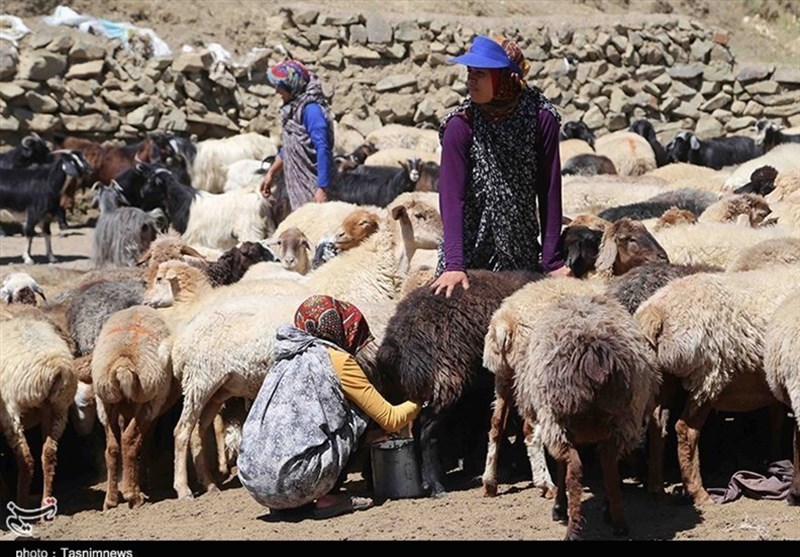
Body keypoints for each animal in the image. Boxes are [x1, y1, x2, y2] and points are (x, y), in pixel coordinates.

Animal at [0, 308, 76, 508]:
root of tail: (55, 367)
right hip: (58, 409)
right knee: (48, 453)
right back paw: (45, 504)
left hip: (11, 412)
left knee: (26, 459)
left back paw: (21, 503)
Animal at [91, 304, 177, 508]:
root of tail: (123, 363)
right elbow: (145, 441)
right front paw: (144, 482)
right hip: (150, 400)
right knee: (130, 441)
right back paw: (133, 496)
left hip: (105, 402)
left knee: (112, 448)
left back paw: (111, 499)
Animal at [376, 268, 544, 496]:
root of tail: (393, 345)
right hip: (445, 382)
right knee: (427, 432)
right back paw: (436, 486)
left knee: (417, 428)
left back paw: (427, 481)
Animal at [516, 296, 660, 540]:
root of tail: (593, 351)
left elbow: (561, 467)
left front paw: (559, 508)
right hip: (622, 419)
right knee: (609, 463)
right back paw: (618, 521)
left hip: (559, 420)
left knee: (574, 470)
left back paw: (573, 529)